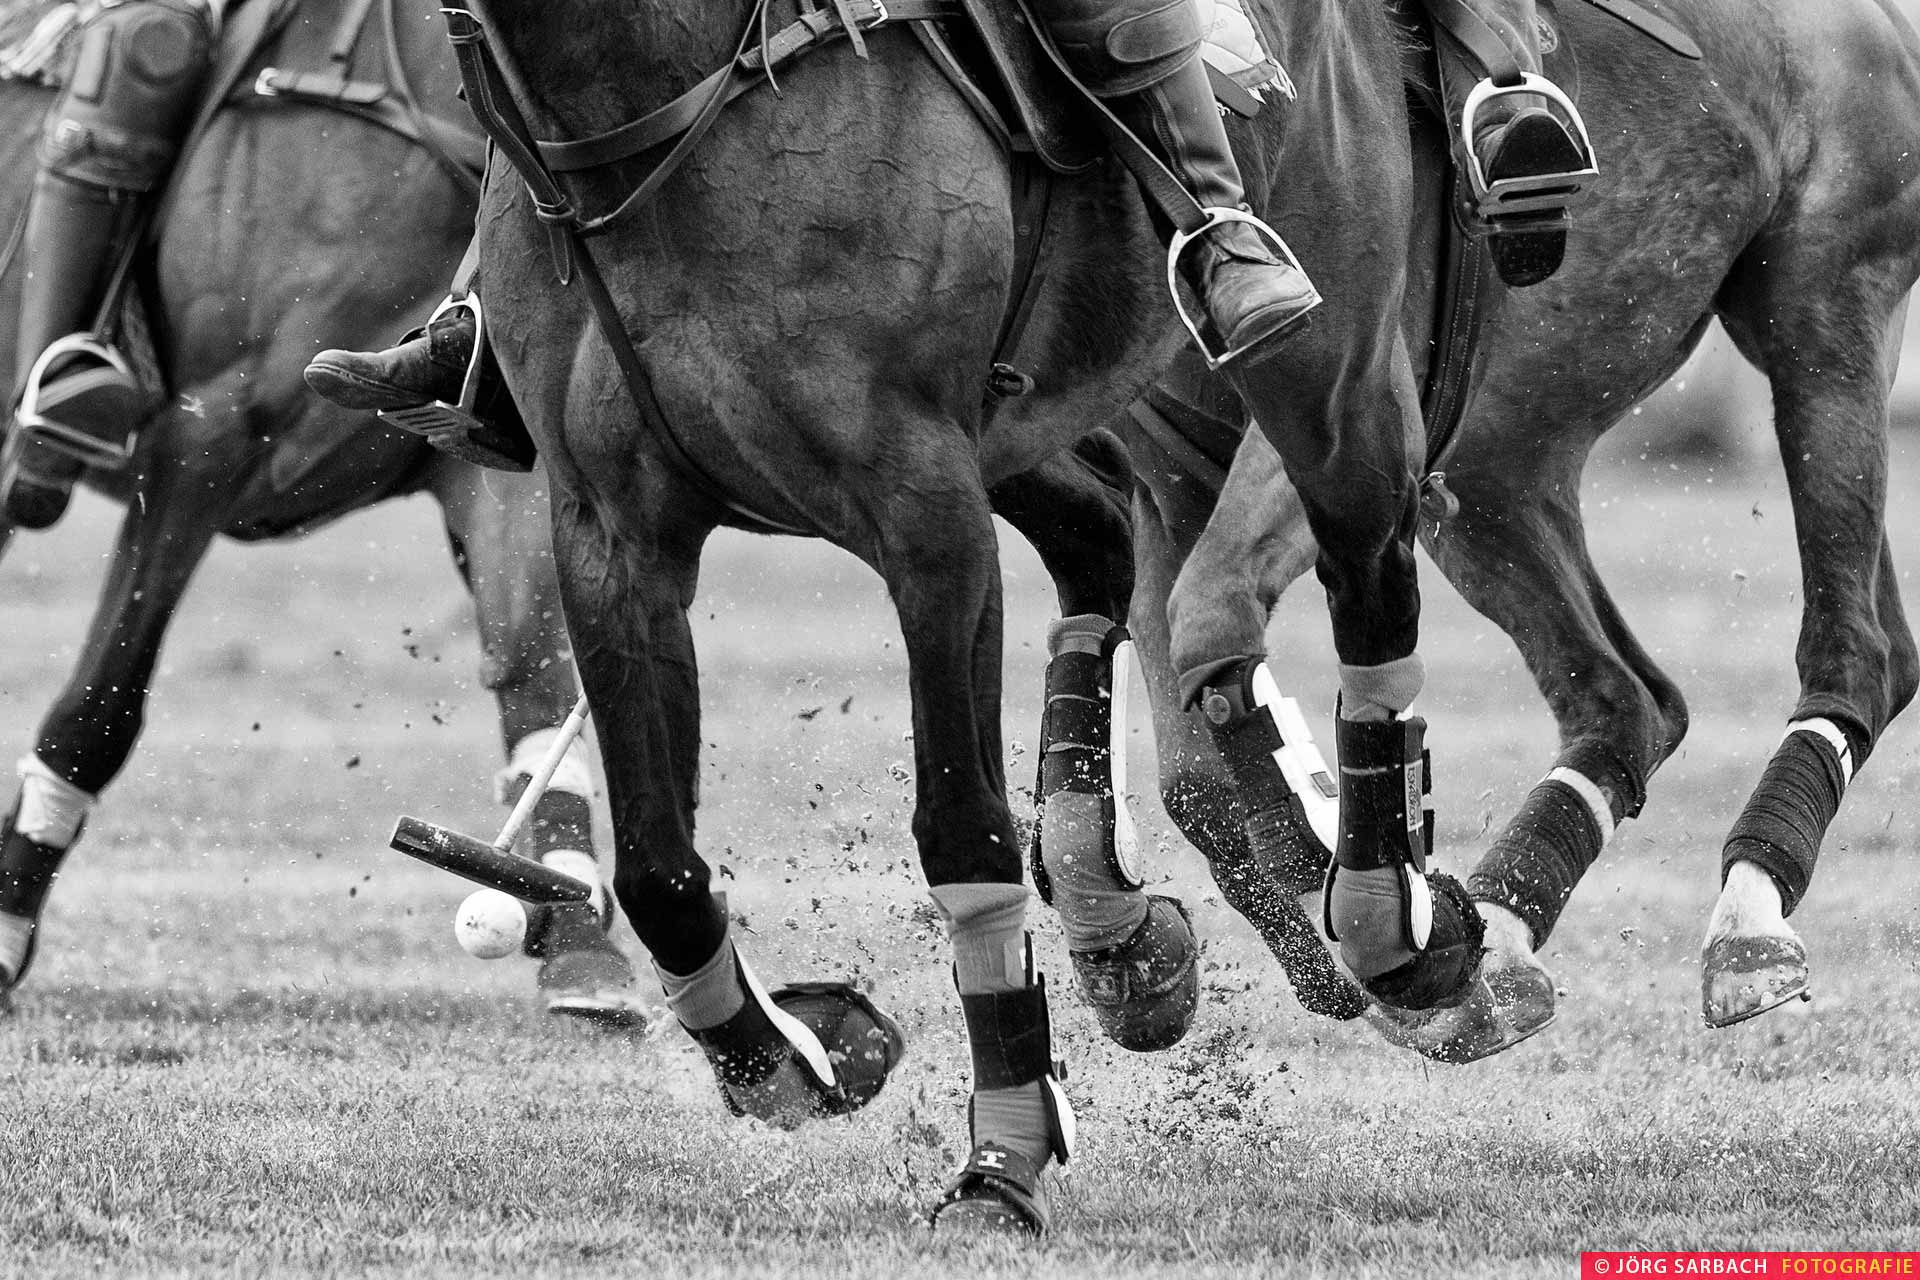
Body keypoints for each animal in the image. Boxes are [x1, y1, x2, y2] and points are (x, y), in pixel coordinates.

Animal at [0, 0, 644, 1023]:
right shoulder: (205, 435)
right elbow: (104, 698)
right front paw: (6, 928)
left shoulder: (496, 458)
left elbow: (532, 671)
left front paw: (580, 941)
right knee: (152, 46)